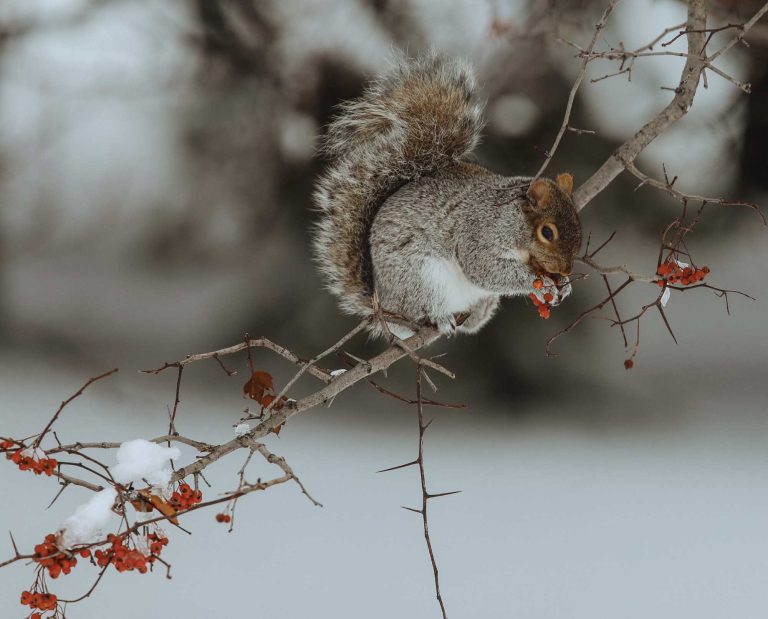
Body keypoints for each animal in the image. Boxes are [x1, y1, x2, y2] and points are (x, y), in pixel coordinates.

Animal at [313, 53, 582, 338]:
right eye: (547, 233)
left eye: (579, 225)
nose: (566, 269)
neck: (515, 222)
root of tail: (385, 307)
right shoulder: (480, 233)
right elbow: (483, 267)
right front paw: (537, 283)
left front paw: (564, 284)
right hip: (421, 280)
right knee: (420, 311)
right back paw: (439, 318)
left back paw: (477, 315)